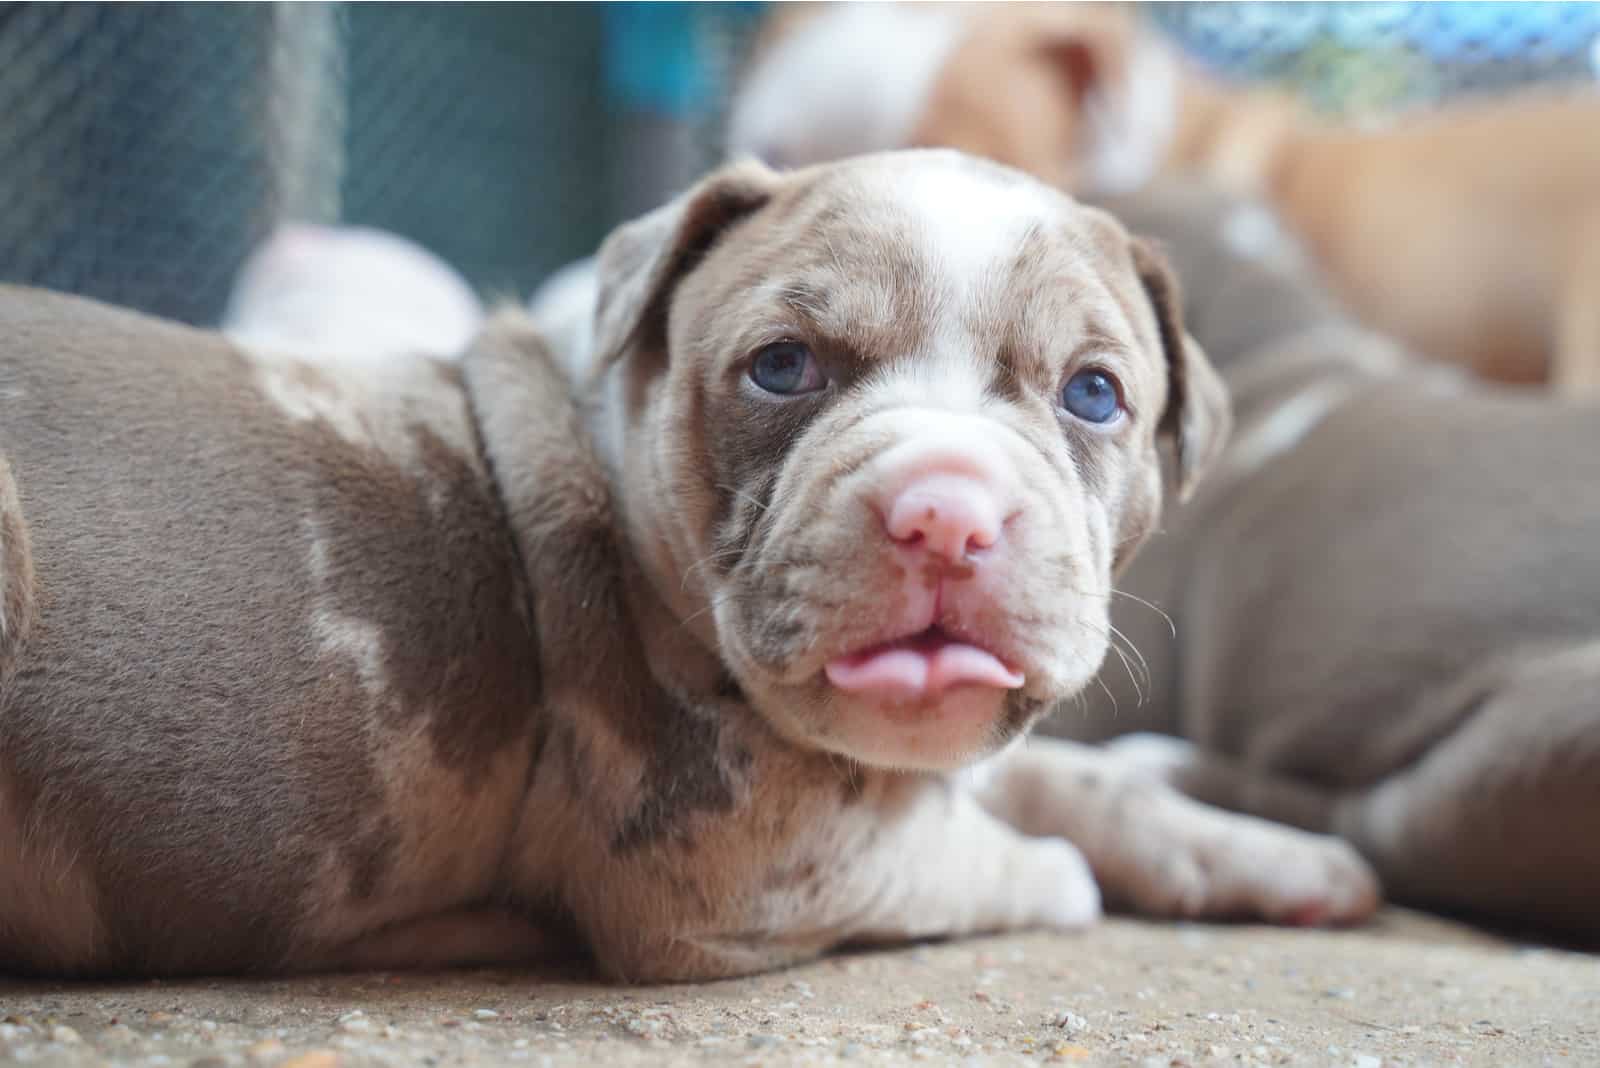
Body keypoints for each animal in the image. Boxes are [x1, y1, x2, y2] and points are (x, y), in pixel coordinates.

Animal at [0, 150, 1376, 984]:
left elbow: (1067, 783)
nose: (946, 513)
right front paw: (1069, 875)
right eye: (781, 367)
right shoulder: (747, 875)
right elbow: (1002, 857)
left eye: (1094, 394)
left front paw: (1271, 858)